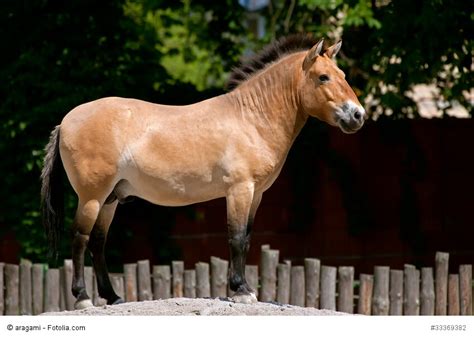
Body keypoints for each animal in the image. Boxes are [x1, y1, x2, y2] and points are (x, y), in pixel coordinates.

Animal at [40, 35, 366, 308]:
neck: (251, 118)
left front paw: (244, 288)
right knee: (80, 238)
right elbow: (236, 237)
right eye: (323, 77)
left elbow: (247, 238)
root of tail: (66, 121)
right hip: (92, 197)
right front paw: (242, 291)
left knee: (98, 242)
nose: (357, 115)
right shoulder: (239, 190)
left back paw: (113, 297)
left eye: (343, 76)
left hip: (110, 199)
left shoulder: (256, 195)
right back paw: (83, 298)